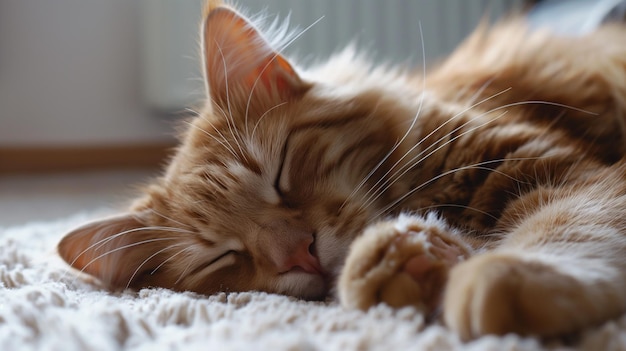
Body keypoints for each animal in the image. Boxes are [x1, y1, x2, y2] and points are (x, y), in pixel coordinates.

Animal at [57, 0, 624, 340]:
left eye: (280, 174)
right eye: (222, 256)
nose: (300, 254)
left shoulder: (563, 173)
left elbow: (567, 230)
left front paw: (499, 278)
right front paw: (402, 265)